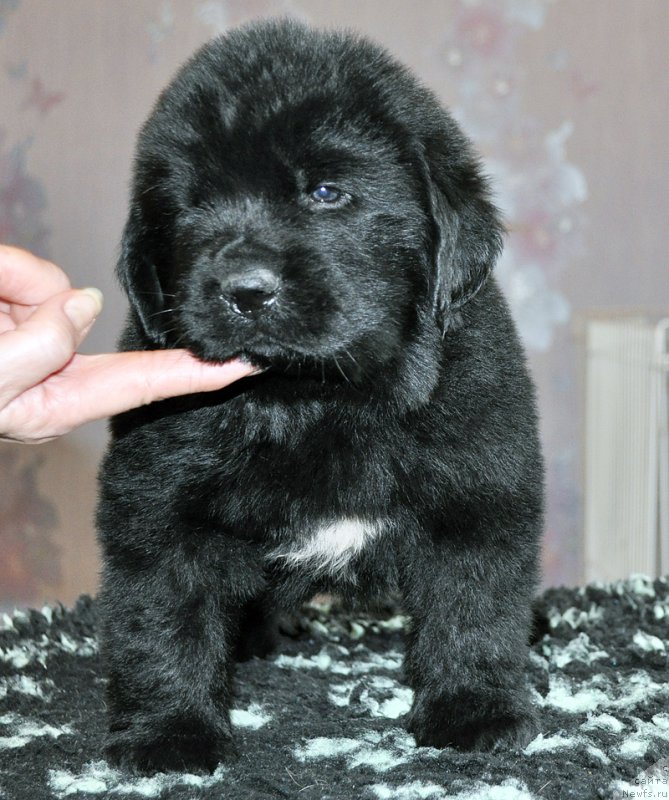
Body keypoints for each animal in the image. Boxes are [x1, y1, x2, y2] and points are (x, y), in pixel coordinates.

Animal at [98, 20, 544, 776]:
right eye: (191, 205)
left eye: (327, 193)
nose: (244, 290)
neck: (316, 398)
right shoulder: (156, 499)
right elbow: (164, 612)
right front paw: (170, 732)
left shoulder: (479, 483)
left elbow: (473, 603)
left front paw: (473, 712)